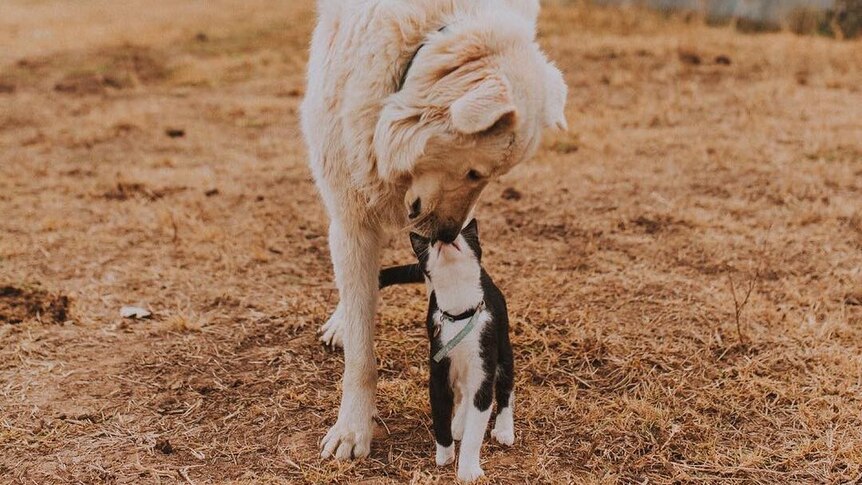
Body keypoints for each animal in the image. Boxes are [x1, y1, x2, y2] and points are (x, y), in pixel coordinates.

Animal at [384, 219, 512, 480]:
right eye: (431, 240)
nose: (443, 233)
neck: (460, 314)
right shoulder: (439, 367)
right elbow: (441, 415)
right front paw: (444, 456)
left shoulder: (483, 362)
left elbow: (477, 426)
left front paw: (468, 470)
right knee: (465, 392)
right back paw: (459, 423)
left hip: (503, 346)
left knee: (505, 386)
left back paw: (505, 428)